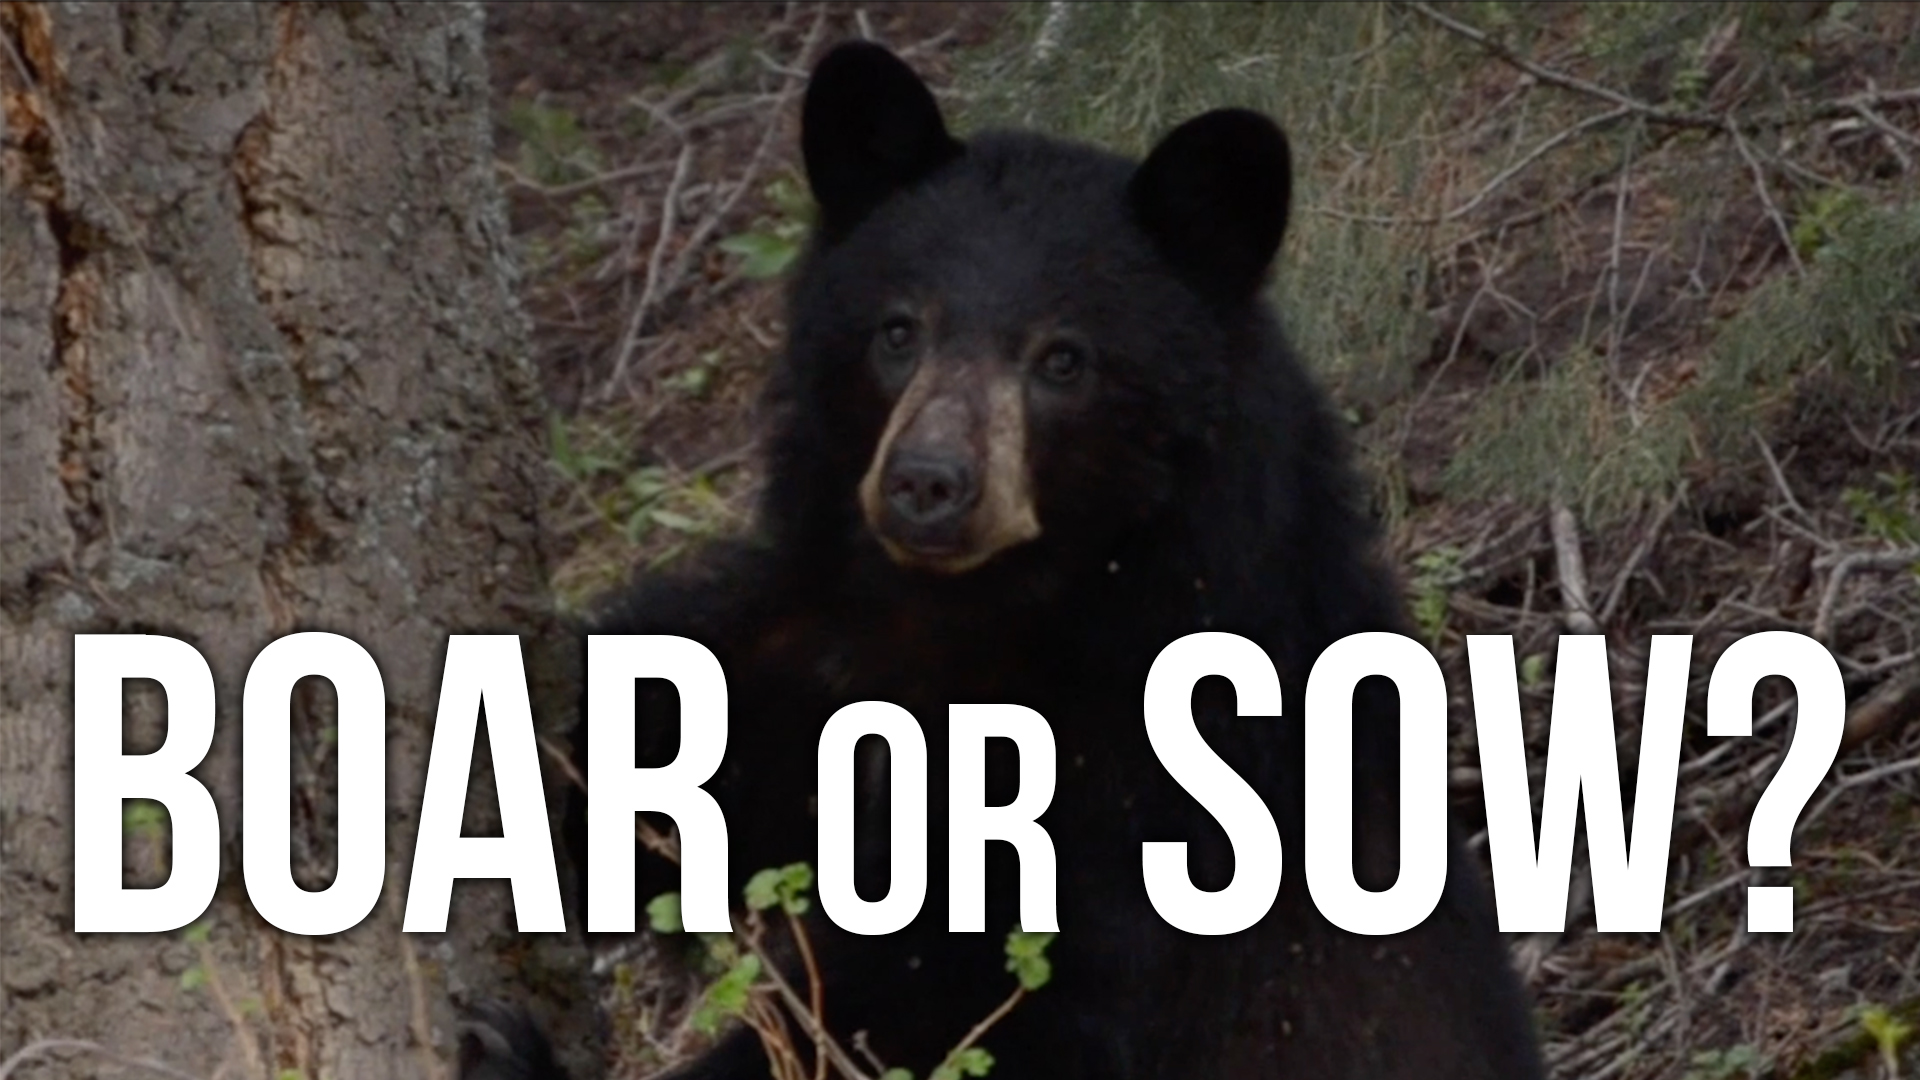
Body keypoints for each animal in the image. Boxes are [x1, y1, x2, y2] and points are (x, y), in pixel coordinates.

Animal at [474, 39, 1545, 1080]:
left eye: (1063, 359)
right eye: (898, 331)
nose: (927, 482)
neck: (983, 616)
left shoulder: (1162, 785)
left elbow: (953, 1006)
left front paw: (513, 1058)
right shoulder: (816, 650)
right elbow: (647, 736)